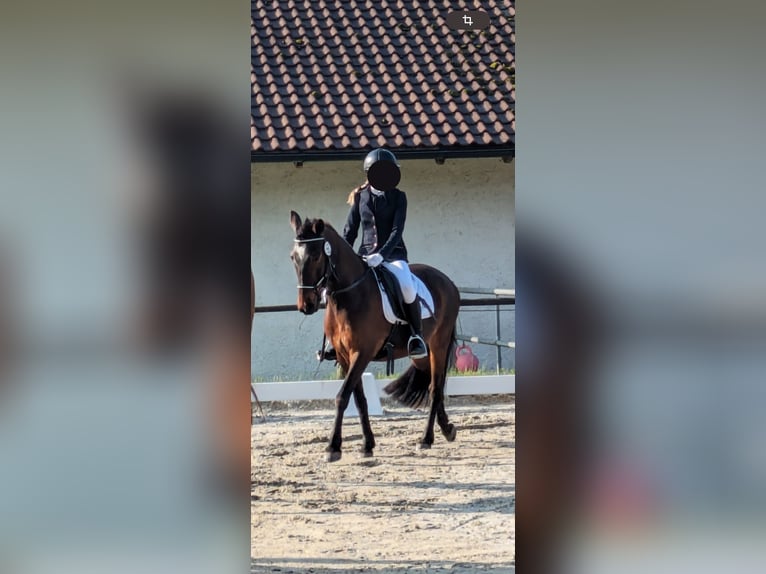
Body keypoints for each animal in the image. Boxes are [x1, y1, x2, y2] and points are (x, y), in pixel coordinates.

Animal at [289, 210, 461, 462]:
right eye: (293, 257)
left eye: (316, 256)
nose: (306, 305)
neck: (348, 295)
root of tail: (448, 282)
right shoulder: (344, 356)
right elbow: (359, 399)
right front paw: (367, 444)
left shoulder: (362, 352)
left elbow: (342, 396)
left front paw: (333, 447)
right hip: (423, 353)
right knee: (432, 383)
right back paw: (447, 429)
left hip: (439, 345)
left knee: (436, 388)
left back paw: (426, 439)